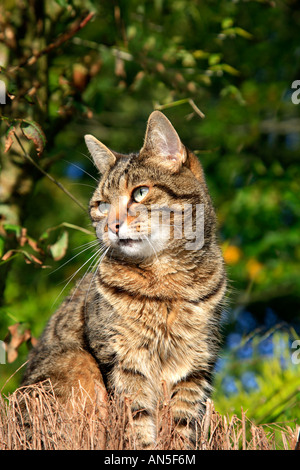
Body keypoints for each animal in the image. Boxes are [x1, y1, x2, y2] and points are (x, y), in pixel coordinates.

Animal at [21, 111, 227, 448]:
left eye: (140, 192)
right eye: (102, 205)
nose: (112, 225)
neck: (164, 284)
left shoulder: (194, 367)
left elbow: (182, 427)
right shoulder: (122, 362)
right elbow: (137, 423)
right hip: (76, 363)